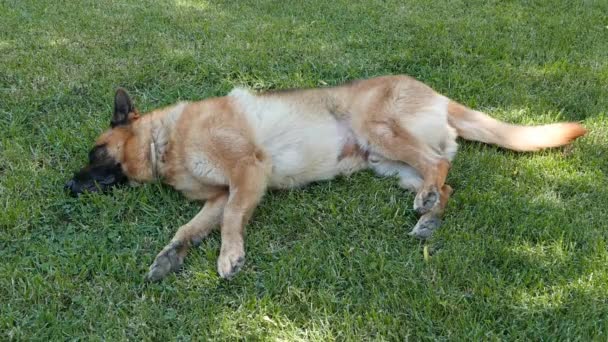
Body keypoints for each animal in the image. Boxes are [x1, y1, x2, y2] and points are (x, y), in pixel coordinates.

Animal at [65, 76, 584, 282]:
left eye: (95, 153)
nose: (67, 187)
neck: (167, 140)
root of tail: (436, 94)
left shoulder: (246, 175)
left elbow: (231, 220)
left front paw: (230, 256)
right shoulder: (218, 195)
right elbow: (189, 228)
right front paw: (171, 256)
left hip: (379, 131)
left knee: (440, 167)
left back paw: (427, 203)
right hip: (387, 163)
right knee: (446, 181)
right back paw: (429, 217)